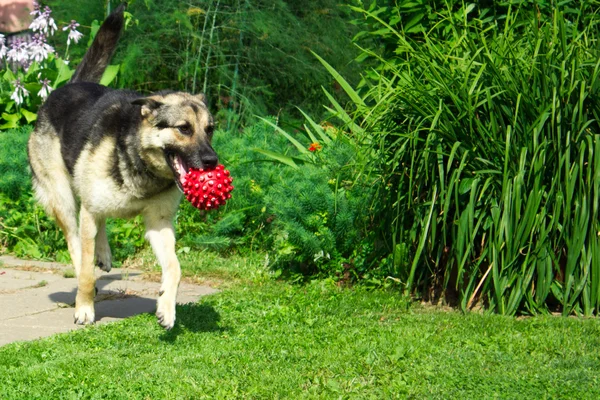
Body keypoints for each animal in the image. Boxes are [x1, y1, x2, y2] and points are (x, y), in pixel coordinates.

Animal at [28, 3, 219, 328]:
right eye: (183, 129)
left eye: (210, 130)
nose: (211, 161)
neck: (138, 160)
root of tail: (66, 87)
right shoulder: (89, 212)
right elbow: (85, 270)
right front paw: (84, 308)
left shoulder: (159, 223)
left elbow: (175, 268)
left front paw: (167, 307)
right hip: (62, 198)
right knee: (75, 241)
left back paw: (103, 253)